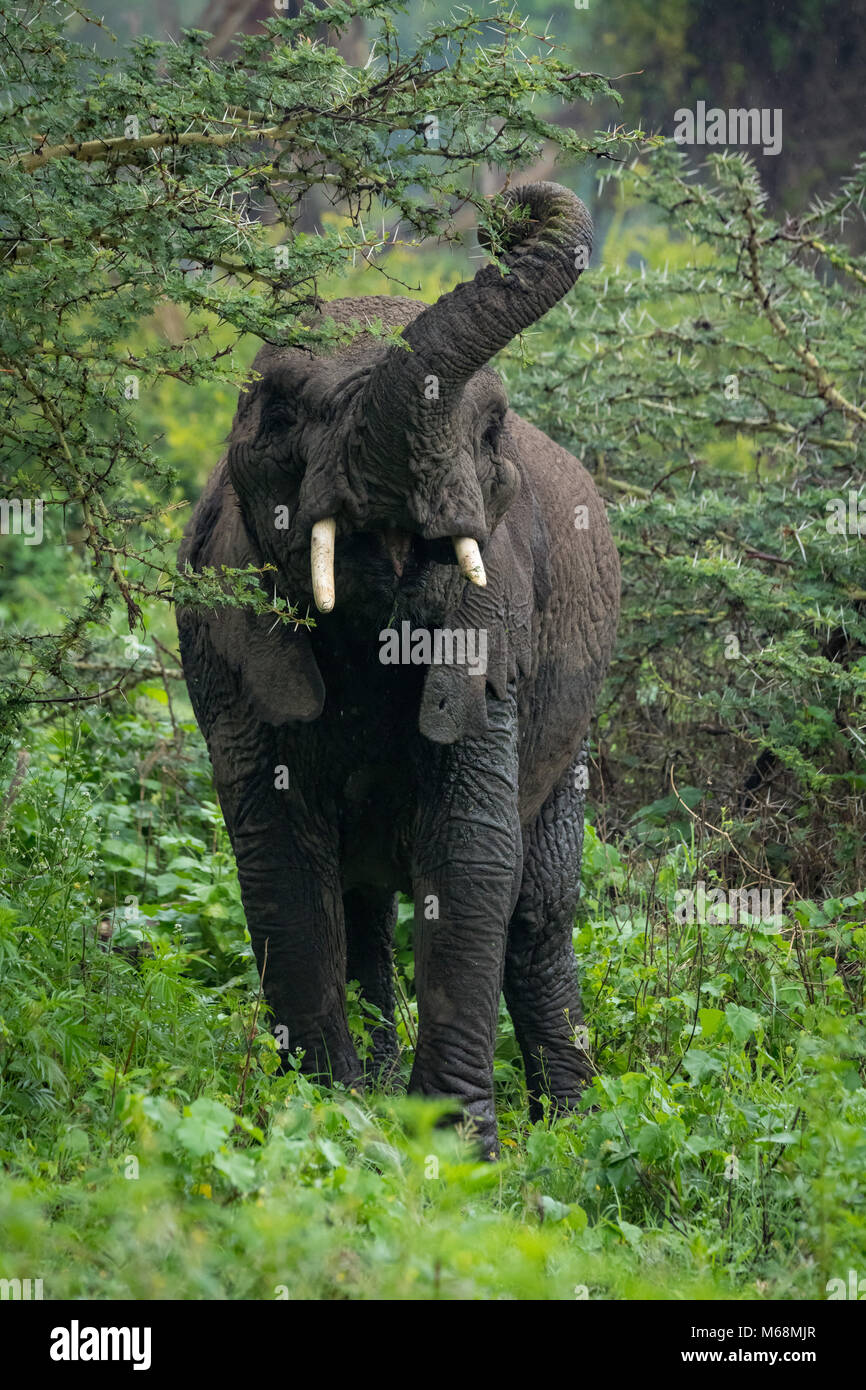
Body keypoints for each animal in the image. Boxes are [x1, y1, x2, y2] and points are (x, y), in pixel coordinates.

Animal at [177, 181, 620, 1157]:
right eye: (280, 415)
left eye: (489, 433)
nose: (510, 214)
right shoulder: (222, 631)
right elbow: (280, 861)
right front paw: (326, 1121)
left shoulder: (499, 621)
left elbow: (471, 854)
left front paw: (452, 1152)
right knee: (362, 904)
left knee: (538, 914)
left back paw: (572, 1131)